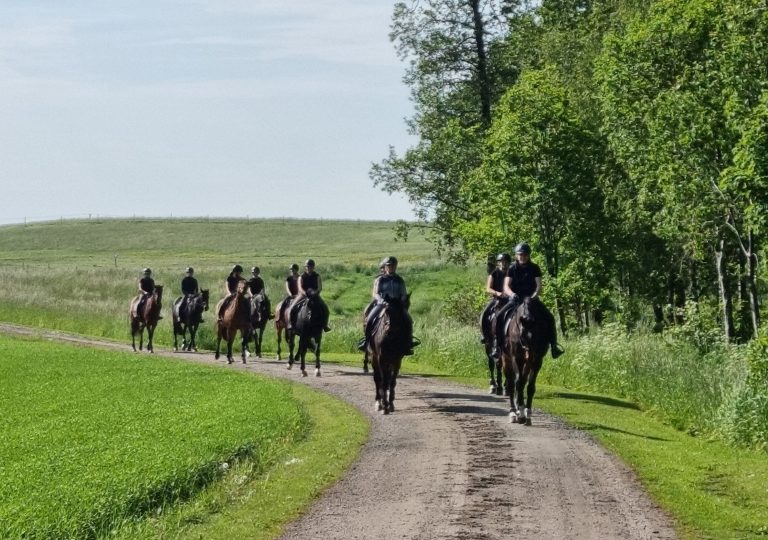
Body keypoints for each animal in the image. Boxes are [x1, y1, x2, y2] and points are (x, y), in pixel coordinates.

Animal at [500, 296, 548, 426]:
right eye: (522, 336)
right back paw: (513, 412)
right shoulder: (516, 358)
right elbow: (517, 383)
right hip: (507, 360)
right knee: (512, 384)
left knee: (522, 382)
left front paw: (528, 414)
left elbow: (530, 386)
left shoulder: (537, 361)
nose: (529, 354)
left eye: (537, 335)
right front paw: (521, 414)